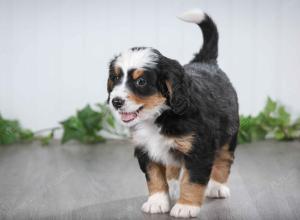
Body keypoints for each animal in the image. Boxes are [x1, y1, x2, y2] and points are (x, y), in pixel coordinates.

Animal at [105, 9, 239, 218]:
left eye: (141, 81)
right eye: (115, 78)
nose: (116, 101)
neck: (159, 115)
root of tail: (205, 63)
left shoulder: (199, 149)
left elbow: (192, 180)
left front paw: (186, 206)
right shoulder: (146, 149)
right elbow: (154, 178)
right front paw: (157, 202)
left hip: (229, 133)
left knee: (224, 159)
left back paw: (217, 187)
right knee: (173, 165)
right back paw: (174, 186)